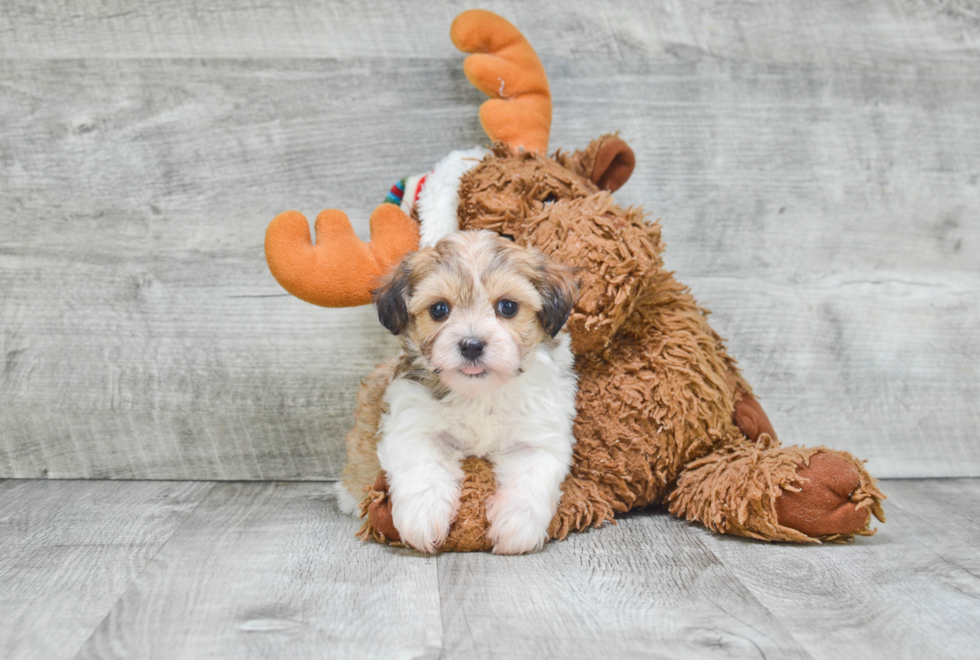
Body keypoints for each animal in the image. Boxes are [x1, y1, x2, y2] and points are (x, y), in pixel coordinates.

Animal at [338, 229, 580, 556]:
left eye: (508, 307)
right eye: (439, 309)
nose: (472, 345)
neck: (480, 394)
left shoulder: (539, 433)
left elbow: (532, 477)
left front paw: (517, 527)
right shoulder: (412, 422)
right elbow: (423, 468)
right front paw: (423, 517)